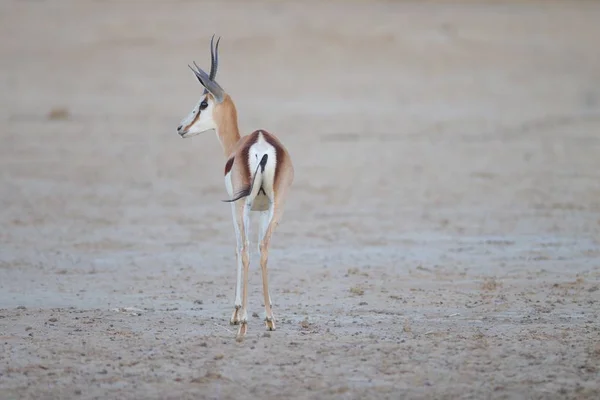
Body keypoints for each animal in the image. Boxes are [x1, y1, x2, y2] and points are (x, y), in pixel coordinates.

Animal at [175, 36, 294, 340]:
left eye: (203, 103)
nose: (181, 127)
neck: (237, 145)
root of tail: (261, 145)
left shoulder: (236, 206)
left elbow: (238, 246)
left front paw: (236, 312)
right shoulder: (262, 210)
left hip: (243, 206)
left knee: (247, 249)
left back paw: (244, 322)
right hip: (277, 207)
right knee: (263, 247)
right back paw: (269, 319)